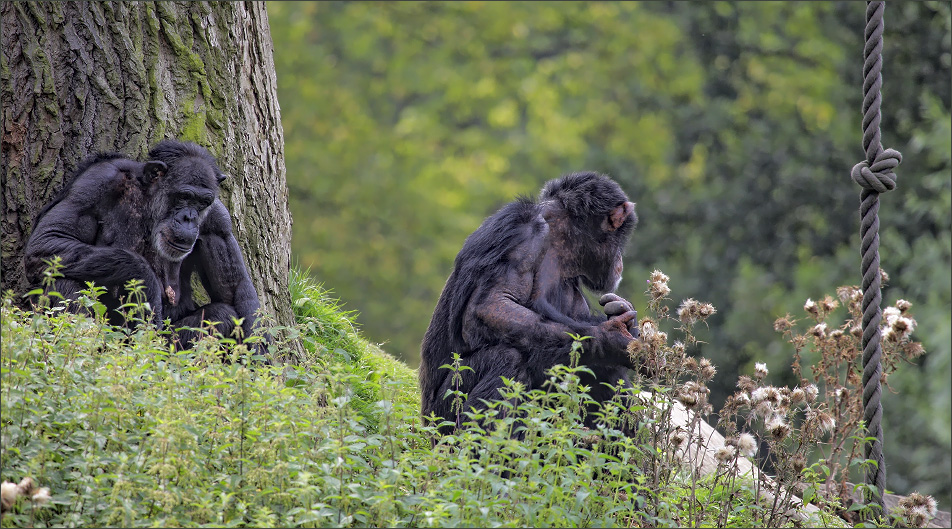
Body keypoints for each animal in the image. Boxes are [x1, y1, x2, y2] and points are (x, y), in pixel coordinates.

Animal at [24, 140, 266, 352]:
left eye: (202, 202)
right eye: (184, 196)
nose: (189, 217)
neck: (148, 201)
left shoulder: (218, 219)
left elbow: (233, 287)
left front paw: (259, 355)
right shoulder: (95, 182)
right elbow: (49, 238)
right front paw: (146, 282)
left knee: (222, 314)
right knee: (65, 281)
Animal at [422, 171, 640, 436]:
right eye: (621, 238)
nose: (621, 259)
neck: (558, 241)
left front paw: (624, 317)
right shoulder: (521, 236)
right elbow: (492, 305)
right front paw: (611, 337)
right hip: (442, 419)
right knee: (506, 359)